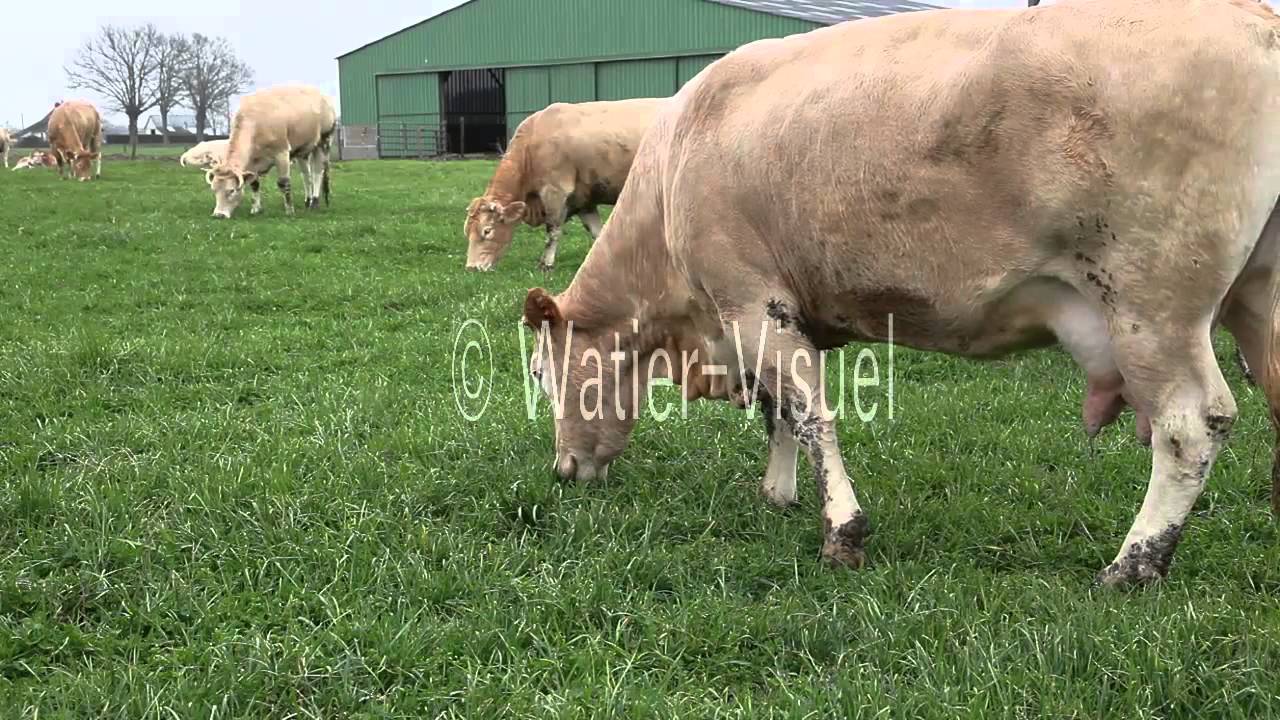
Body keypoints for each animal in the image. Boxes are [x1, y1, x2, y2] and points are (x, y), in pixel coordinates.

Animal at [206, 85, 337, 218]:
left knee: (317, 172)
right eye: (214, 190)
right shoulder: (252, 162)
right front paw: (256, 209)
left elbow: (284, 183)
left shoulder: (282, 153)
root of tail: (320, 94)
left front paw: (289, 211)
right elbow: (254, 184)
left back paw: (314, 202)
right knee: (306, 175)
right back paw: (307, 200)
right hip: (302, 150)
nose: (218, 215)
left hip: (324, 140)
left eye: (231, 190)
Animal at [464, 98, 665, 271]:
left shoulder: (555, 192)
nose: (472, 268)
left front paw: (546, 264)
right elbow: (597, 233)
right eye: (467, 231)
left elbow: (552, 231)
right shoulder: (584, 201)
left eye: (487, 231)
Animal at [520, 0, 1280, 587]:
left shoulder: (753, 303)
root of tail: (1252, 20)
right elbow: (778, 414)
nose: (562, 470)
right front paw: (777, 494)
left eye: (544, 374)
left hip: (1153, 303)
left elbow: (809, 414)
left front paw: (842, 531)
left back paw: (1133, 564)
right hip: (1256, 298)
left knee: (1190, 425)